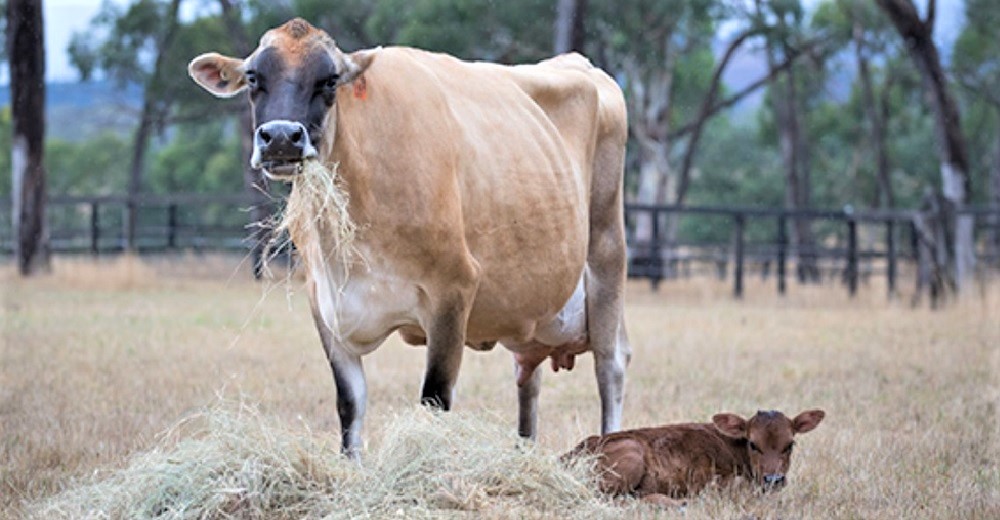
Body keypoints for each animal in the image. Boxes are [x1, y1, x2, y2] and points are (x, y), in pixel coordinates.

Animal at [188, 18, 628, 458]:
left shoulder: (453, 291)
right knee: (528, 377)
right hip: (531, 307)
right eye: (253, 77)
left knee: (611, 365)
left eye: (330, 80)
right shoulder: (325, 304)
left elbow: (434, 401)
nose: (281, 137)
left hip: (607, 254)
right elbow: (350, 403)